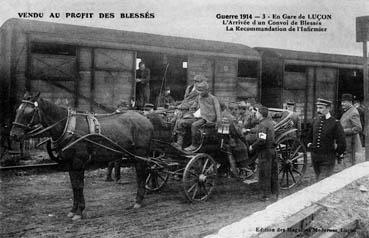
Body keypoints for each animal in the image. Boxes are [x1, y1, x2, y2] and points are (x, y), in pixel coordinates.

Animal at [10, 92, 153, 220]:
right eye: (17, 110)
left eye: (28, 112)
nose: (14, 135)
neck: (69, 128)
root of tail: (145, 119)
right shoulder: (69, 163)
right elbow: (74, 185)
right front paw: (73, 210)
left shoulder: (78, 162)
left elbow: (79, 186)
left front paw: (79, 212)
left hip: (140, 153)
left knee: (141, 174)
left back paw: (138, 201)